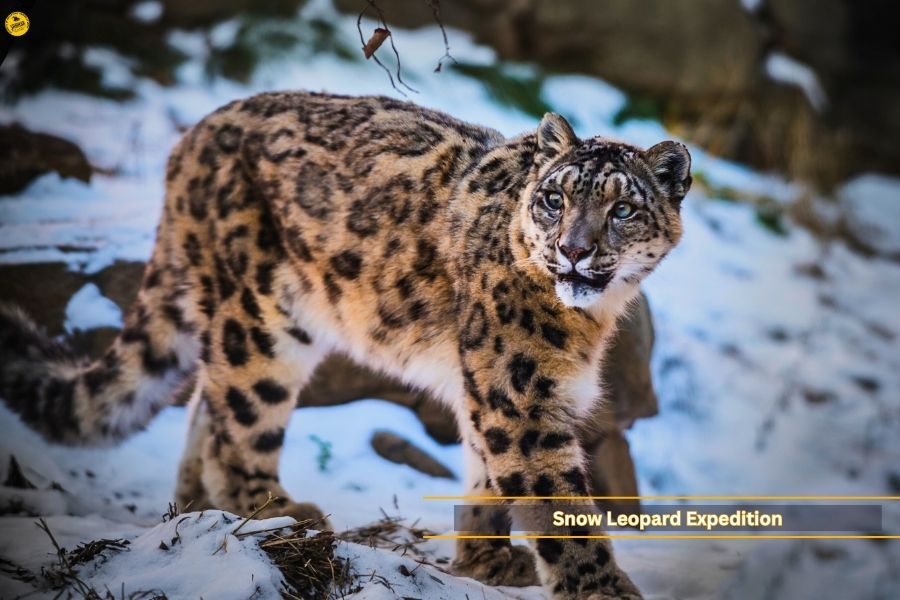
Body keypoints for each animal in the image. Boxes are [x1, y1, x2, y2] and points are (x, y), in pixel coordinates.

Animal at [0, 91, 690, 599]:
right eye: (553, 198)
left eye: (622, 210)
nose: (572, 249)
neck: (589, 321)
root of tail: (191, 138)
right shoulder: (517, 391)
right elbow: (556, 502)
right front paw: (601, 588)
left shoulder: (499, 385)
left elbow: (483, 473)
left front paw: (486, 563)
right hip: (262, 317)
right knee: (239, 419)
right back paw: (277, 512)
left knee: (206, 402)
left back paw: (195, 511)